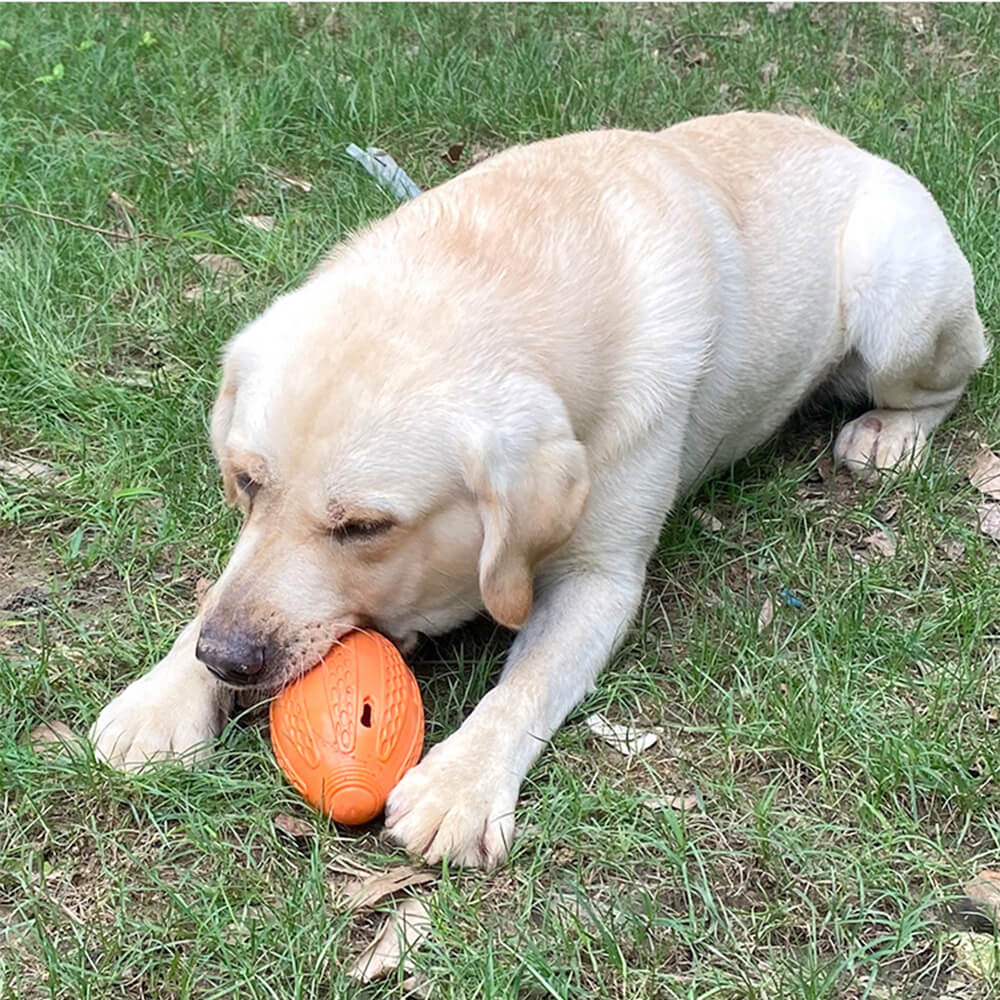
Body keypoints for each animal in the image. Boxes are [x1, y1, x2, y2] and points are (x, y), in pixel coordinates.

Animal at [90, 111, 988, 868]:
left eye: (366, 527)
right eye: (245, 481)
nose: (225, 660)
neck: (502, 266)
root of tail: (854, 144)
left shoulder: (600, 580)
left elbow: (524, 686)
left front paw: (459, 787)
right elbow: (221, 586)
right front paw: (164, 697)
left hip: (896, 301)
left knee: (957, 375)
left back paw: (890, 435)